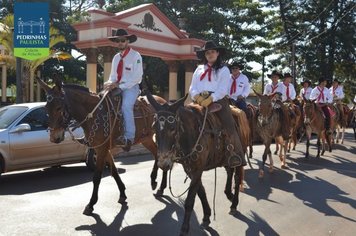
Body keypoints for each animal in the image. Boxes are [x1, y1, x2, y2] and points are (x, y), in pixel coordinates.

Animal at [36, 78, 168, 215]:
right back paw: (154, 181)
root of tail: (164, 101)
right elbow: (114, 171)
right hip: (146, 139)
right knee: (157, 154)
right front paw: (122, 194)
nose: (54, 137)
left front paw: (91, 204)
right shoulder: (103, 149)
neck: (94, 115)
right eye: (46, 108)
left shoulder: (101, 149)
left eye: (59, 108)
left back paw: (161, 186)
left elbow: (97, 177)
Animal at [145, 92, 250, 236]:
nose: (163, 163)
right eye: (153, 127)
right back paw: (228, 193)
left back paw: (234, 205)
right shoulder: (190, 169)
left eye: (172, 128)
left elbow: (190, 199)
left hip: (240, 155)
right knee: (229, 171)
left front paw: (184, 228)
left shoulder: (197, 169)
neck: (192, 132)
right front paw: (207, 216)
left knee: (237, 176)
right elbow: (201, 192)